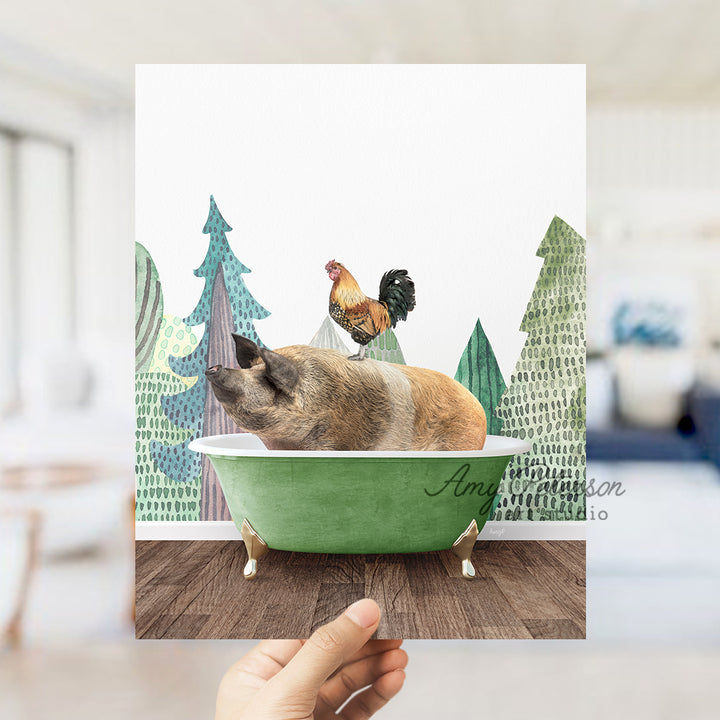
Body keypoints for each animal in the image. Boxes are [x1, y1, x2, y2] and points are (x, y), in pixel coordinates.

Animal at [205, 334, 486, 450]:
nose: (215, 367)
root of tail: (478, 405)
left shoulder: (338, 441)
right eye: (250, 368)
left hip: (462, 441)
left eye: (268, 379)